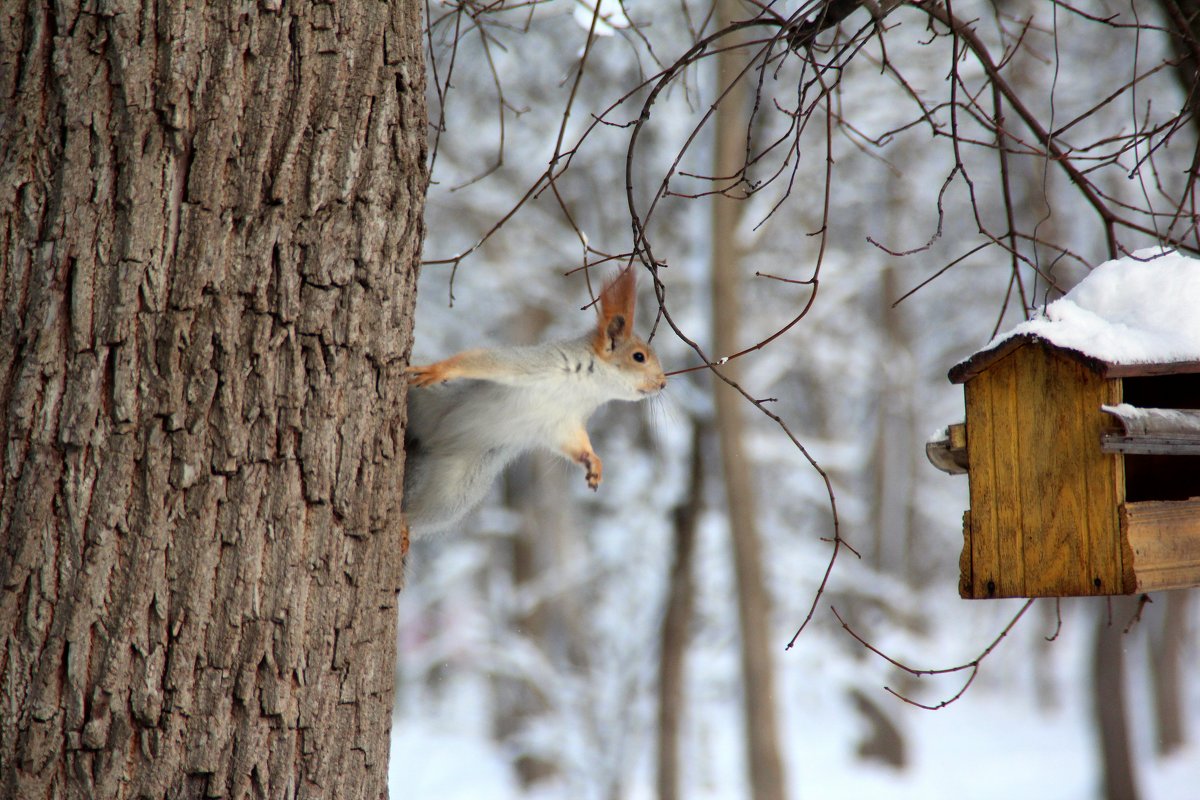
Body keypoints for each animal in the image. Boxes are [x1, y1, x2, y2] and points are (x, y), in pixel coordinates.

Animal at [400, 268, 667, 537]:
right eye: (639, 357)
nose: (663, 383)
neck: (586, 386)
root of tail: (427, 442)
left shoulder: (564, 422)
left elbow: (574, 444)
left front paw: (593, 462)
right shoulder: (534, 364)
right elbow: (485, 361)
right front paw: (440, 370)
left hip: (455, 492)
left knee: (422, 513)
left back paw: (403, 526)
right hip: (428, 400)